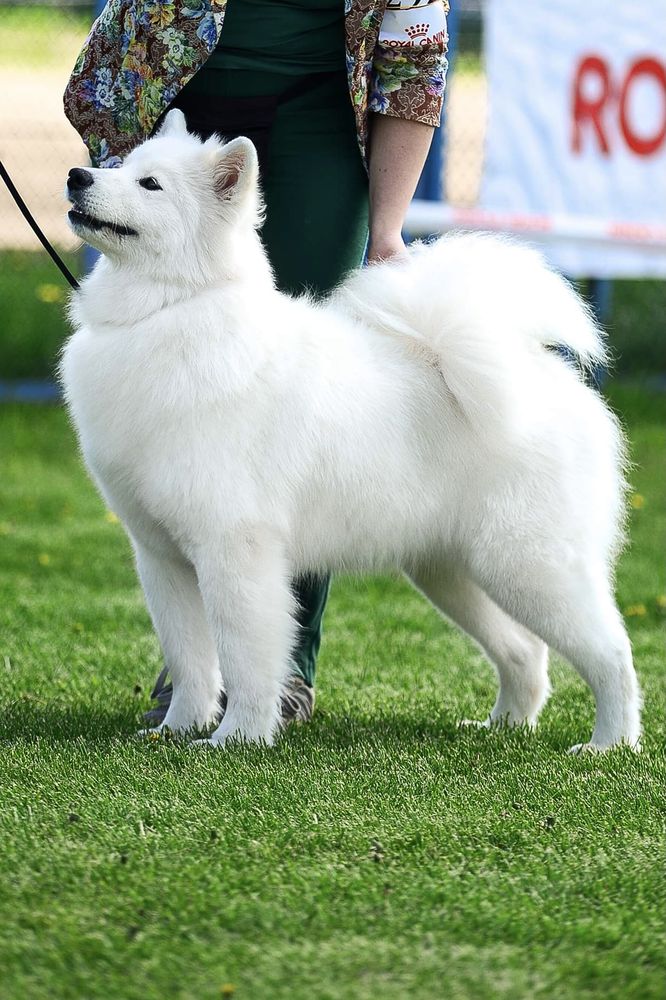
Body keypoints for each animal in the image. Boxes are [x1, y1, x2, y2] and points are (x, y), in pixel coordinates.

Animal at [62, 109, 640, 752]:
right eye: (121, 165)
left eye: (151, 185)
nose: (78, 176)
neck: (167, 312)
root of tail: (545, 376)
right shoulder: (161, 556)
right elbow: (191, 661)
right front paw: (174, 733)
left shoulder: (235, 549)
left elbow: (244, 658)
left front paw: (235, 740)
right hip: (452, 569)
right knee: (525, 652)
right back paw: (501, 727)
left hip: (530, 565)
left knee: (612, 653)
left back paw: (608, 744)